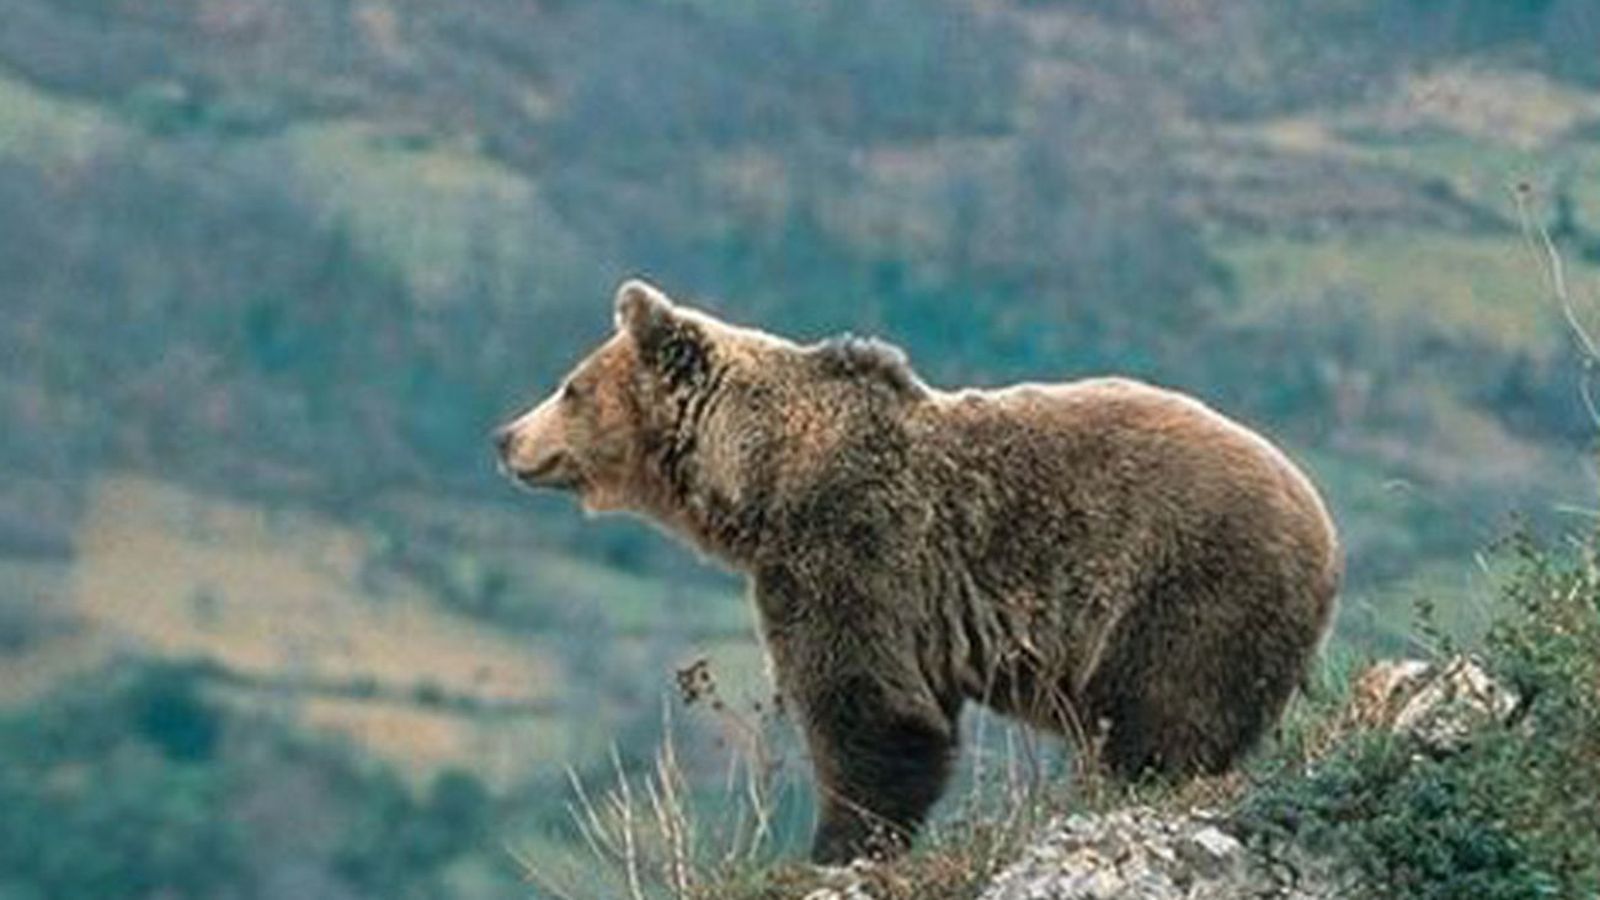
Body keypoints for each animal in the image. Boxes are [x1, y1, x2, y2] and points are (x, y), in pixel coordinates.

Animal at [494, 279, 1341, 864]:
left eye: (569, 386)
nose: (505, 436)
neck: (760, 480)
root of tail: (1326, 531)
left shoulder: (853, 547)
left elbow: (866, 705)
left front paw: (838, 844)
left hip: (1190, 583)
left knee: (1165, 715)